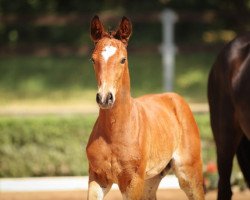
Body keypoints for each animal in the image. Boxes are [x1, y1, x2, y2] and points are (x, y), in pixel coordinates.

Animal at [86, 16, 205, 200]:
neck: (114, 133)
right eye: (93, 59)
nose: (105, 98)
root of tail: (175, 98)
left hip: (189, 173)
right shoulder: (97, 178)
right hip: (151, 179)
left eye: (123, 59)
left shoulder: (133, 182)